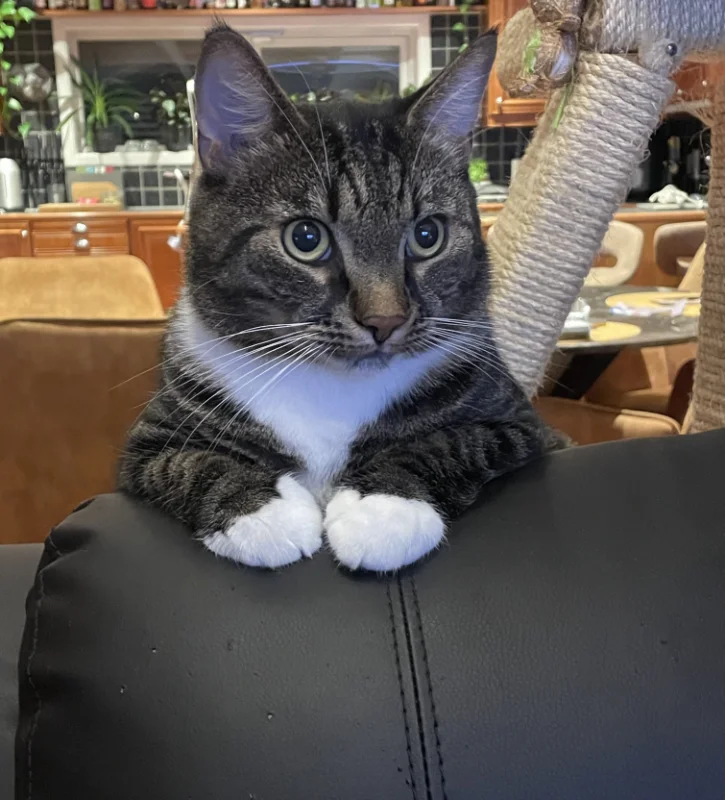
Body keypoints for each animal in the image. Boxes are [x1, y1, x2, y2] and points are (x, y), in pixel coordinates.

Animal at [118, 23, 565, 572]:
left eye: (428, 235)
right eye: (305, 238)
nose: (385, 320)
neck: (331, 389)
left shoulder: (521, 423)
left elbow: (456, 439)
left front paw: (385, 510)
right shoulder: (149, 441)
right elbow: (189, 461)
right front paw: (261, 514)